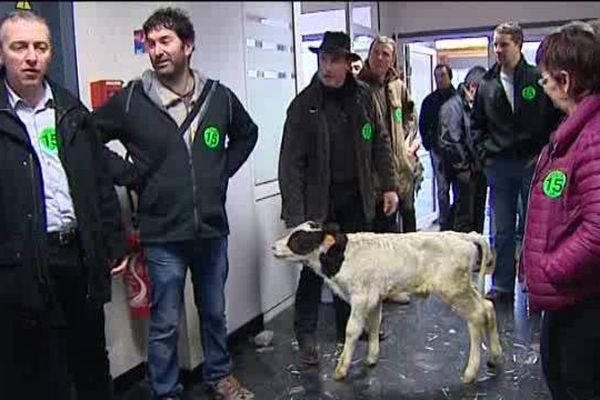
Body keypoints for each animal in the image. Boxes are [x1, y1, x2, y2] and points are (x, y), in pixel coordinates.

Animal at [272, 222, 502, 384]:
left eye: (297, 238)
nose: (273, 246)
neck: (341, 257)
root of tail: (463, 235)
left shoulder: (361, 297)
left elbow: (352, 330)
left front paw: (341, 369)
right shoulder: (374, 296)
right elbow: (374, 323)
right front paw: (371, 357)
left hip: (454, 289)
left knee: (477, 317)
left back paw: (470, 372)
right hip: (463, 288)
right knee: (488, 308)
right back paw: (495, 356)